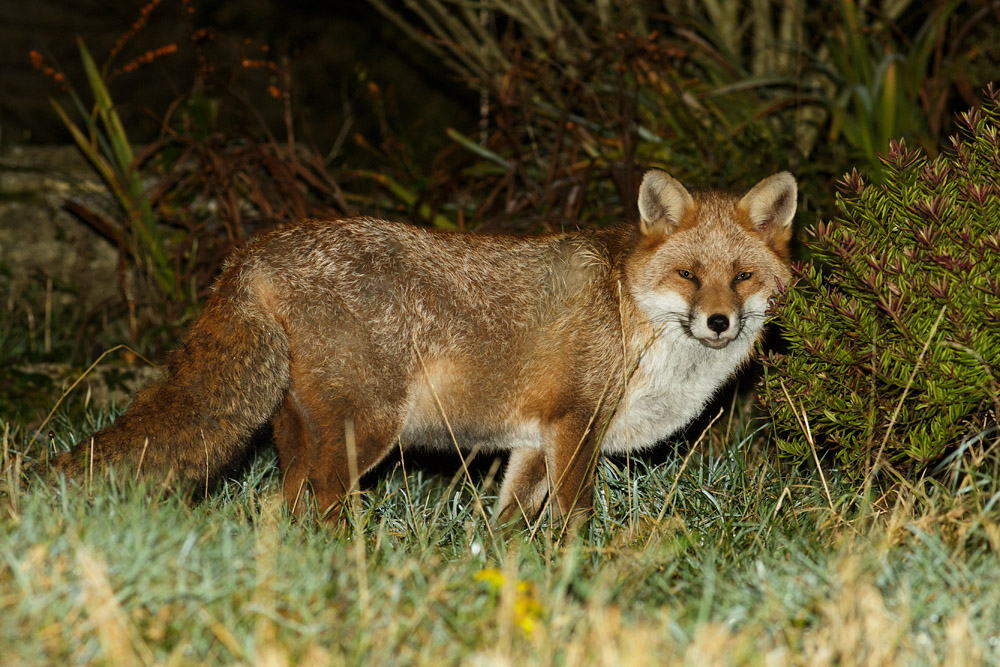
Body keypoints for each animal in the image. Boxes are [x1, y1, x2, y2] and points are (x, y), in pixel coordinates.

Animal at [49, 169, 796, 525]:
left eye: (742, 277)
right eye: (688, 276)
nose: (719, 322)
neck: (632, 316)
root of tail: (256, 248)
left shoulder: (533, 443)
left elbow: (507, 527)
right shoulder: (576, 425)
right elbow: (576, 518)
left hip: (301, 433)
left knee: (278, 506)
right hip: (366, 430)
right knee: (321, 507)